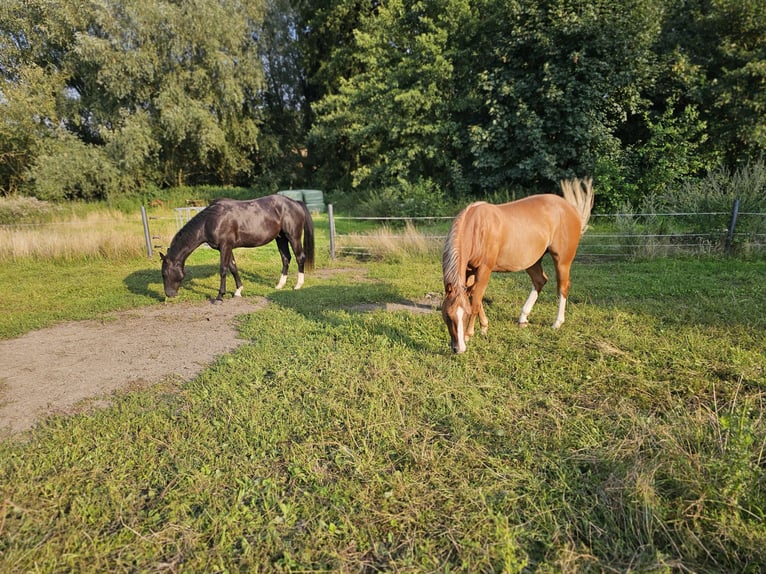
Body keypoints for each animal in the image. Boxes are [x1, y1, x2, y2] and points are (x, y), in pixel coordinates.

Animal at [160, 194, 315, 302]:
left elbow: (223, 269)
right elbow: (233, 267)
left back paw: (298, 285)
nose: (169, 294)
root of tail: (295, 203)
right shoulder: (227, 248)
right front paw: (238, 291)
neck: (210, 220)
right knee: (286, 258)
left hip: (293, 236)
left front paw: (220, 296)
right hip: (281, 238)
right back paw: (279, 285)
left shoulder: (225, 246)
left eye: (165, 274)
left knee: (300, 257)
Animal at [441, 178, 594, 353]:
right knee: (540, 281)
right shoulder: (469, 270)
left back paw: (557, 323)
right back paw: (523, 318)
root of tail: (572, 209)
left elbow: (475, 301)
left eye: (465, 315)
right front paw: (484, 327)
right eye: (447, 315)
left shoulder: (484, 270)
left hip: (562, 261)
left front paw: (469, 334)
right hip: (533, 261)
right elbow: (475, 298)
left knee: (562, 287)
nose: (458, 348)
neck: (477, 229)